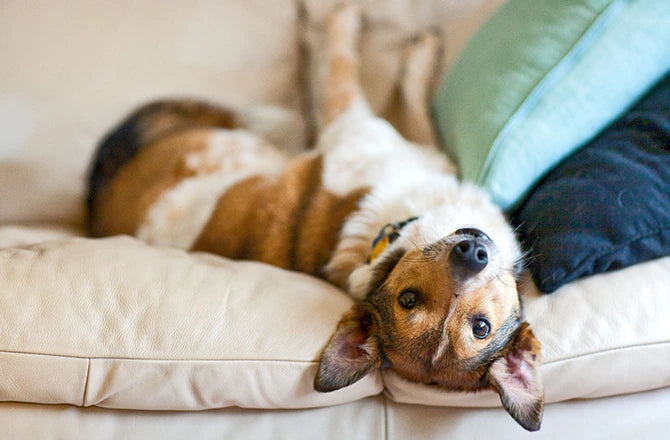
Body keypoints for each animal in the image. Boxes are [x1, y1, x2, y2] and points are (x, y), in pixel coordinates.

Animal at [86, 1, 544, 432]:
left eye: (480, 327)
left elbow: (371, 85)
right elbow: (351, 71)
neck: (391, 236)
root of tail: (101, 195)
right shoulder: (362, 127)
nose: (472, 253)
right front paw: (355, 23)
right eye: (409, 299)